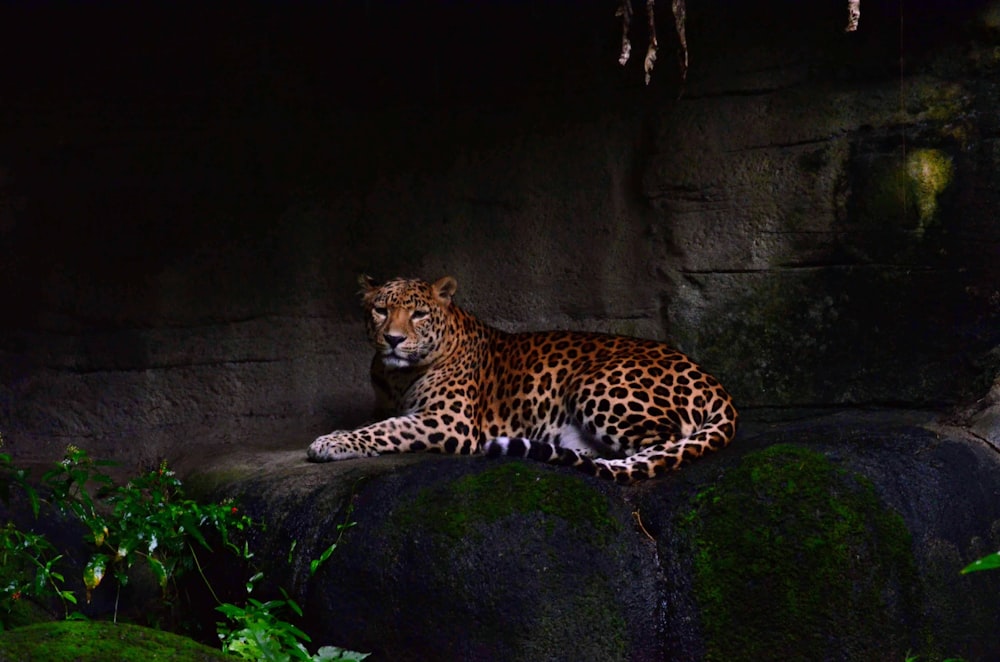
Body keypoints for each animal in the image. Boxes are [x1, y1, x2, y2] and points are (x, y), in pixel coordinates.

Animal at [308, 272, 740, 486]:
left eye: (418, 315)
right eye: (381, 310)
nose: (394, 339)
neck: (397, 377)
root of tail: (715, 384)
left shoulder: (449, 422)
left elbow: (386, 429)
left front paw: (328, 444)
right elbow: (373, 421)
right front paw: (339, 434)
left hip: (598, 384)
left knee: (664, 445)